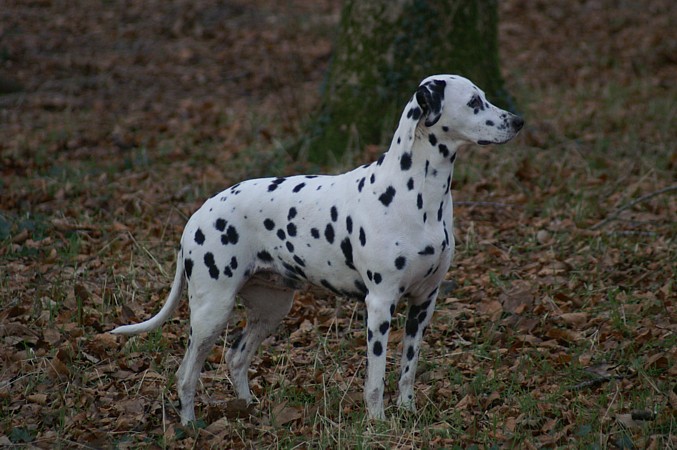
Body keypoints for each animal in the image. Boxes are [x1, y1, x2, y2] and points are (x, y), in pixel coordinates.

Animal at [111, 73, 524, 422]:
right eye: (474, 101)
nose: (518, 121)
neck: (417, 193)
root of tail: (196, 217)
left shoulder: (424, 302)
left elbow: (408, 369)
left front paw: (407, 412)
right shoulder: (380, 305)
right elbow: (376, 379)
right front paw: (377, 424)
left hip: (272, 309)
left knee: (236, 356)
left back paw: (248, 407)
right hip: (212, 311)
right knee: (186, 374)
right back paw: (188, 425)